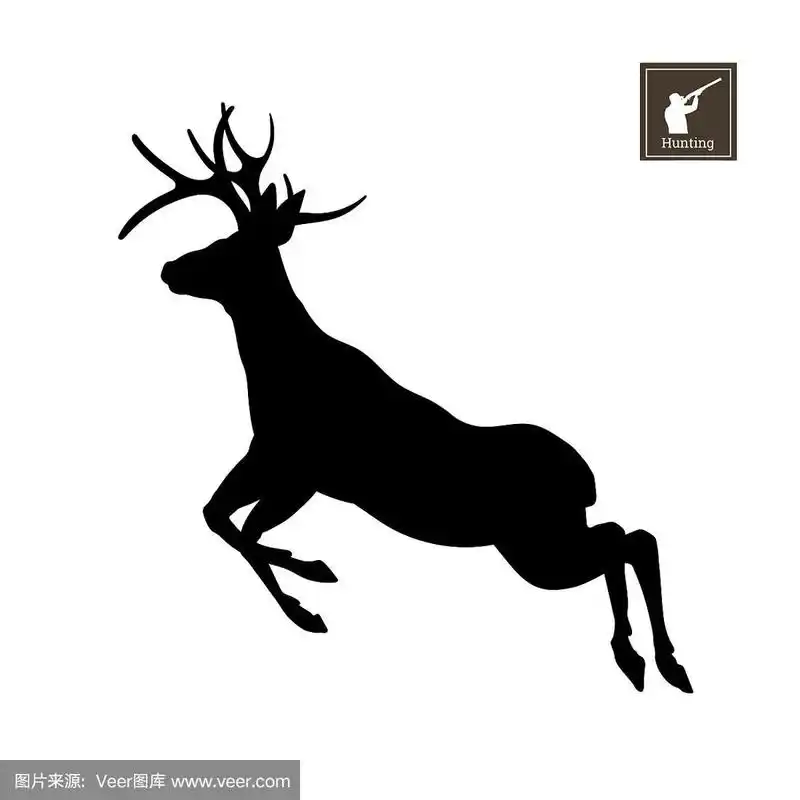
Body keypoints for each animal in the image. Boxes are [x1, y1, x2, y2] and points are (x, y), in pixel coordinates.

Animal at [119, 104, 692, 693]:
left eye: (227, 247)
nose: (171, 268)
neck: (278, 371)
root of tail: (586, 480)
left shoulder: (296, 465)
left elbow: (240, 528)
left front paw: (306, 605)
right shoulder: (275, 461)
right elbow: (221, 517)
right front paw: (309, 574)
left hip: (533, 543)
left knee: (626, 541)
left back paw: (644, 656)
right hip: (543, 537)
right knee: (629, 534)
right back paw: (654, 659)